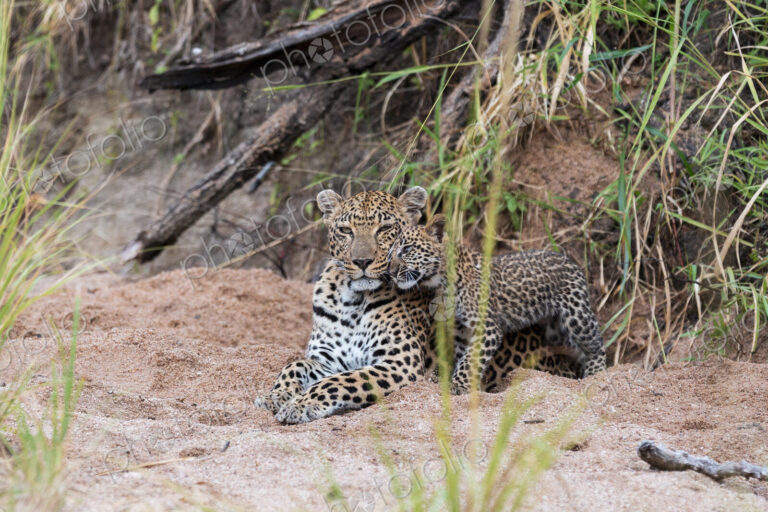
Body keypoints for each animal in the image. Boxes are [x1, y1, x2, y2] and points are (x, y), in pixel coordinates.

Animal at [254, 186, 436, 424]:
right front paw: (275, 396)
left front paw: (300, 404)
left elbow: (341, 380)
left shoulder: (400, 362)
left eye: (385, 228)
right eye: (345, 230)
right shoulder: (328, 360)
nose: (362, 261)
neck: (353, 301)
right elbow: (294, 365)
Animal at [389, 214, 606, 394]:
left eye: (407, 249)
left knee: (596, 344)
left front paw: (458, 385)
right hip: (555, 331)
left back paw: (596, 374)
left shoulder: (488, 328)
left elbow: (470, 360)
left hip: (576, 315)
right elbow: (463, 357)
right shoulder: (463, 331)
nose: (390, 272)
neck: (443, 280)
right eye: (391, 253)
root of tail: (572, 263)